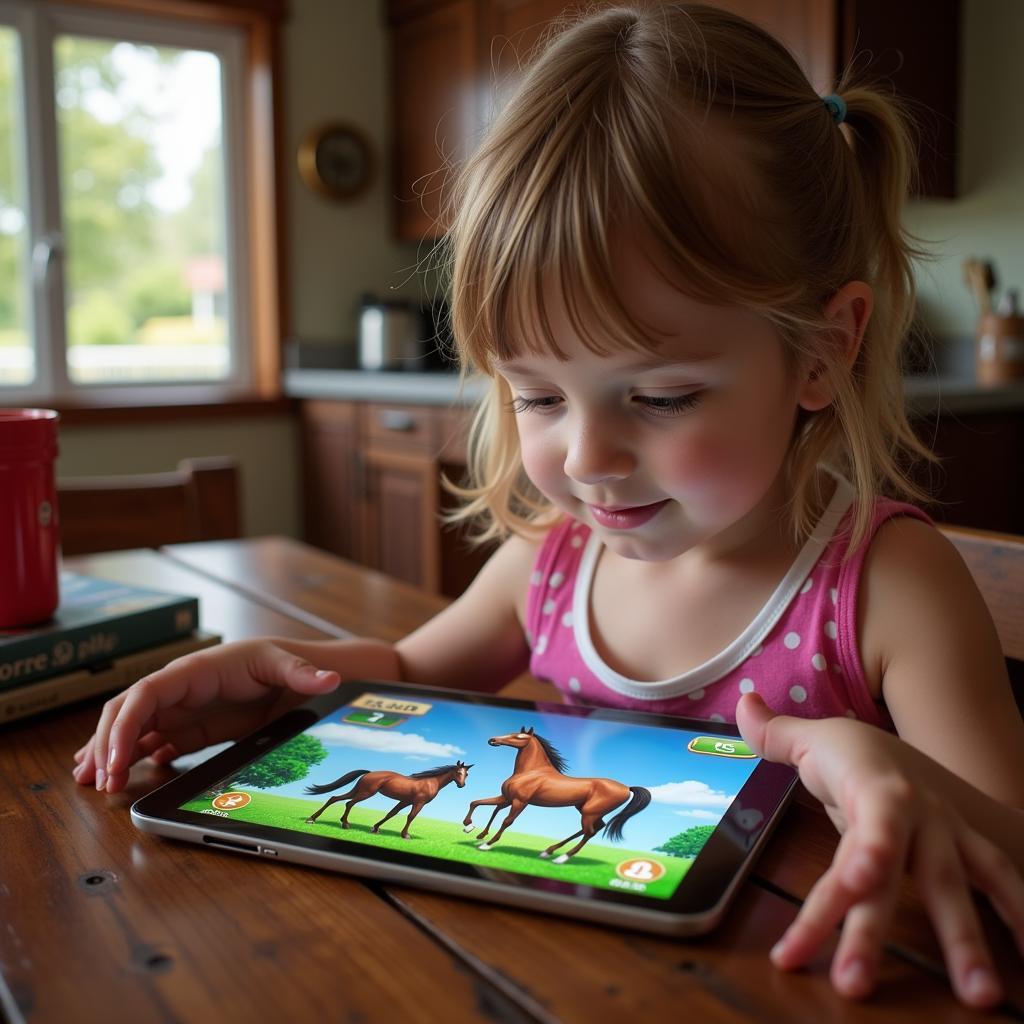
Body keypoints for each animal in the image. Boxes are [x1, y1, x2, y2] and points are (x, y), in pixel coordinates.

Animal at [305, 761, 473, 839]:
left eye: (466, 774)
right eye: (458, 772)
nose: (462, 785)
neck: (431, 781)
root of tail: (369, 773)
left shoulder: (405, 801)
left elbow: (391, 814)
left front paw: (375, 828)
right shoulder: (418, 803)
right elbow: (411, 817)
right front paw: (405, 835)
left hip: (358, 791)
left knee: (335, 798)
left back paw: (313, 819)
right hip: (366, 793)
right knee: (348, 803)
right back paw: (342, 823)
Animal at [462, 724, 651, 860]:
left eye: (519, 737)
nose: (492, 740)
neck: (531, 771)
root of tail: (626, 788)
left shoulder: (520, 802)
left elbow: (507, 821)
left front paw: (487, 844)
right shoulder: (506, 798)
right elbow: (479, 803)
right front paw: (472, 829)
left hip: (590, 812)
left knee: (589, 831)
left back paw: (562, 857)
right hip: (587, 810)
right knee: (594, 828)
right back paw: (549, 851)